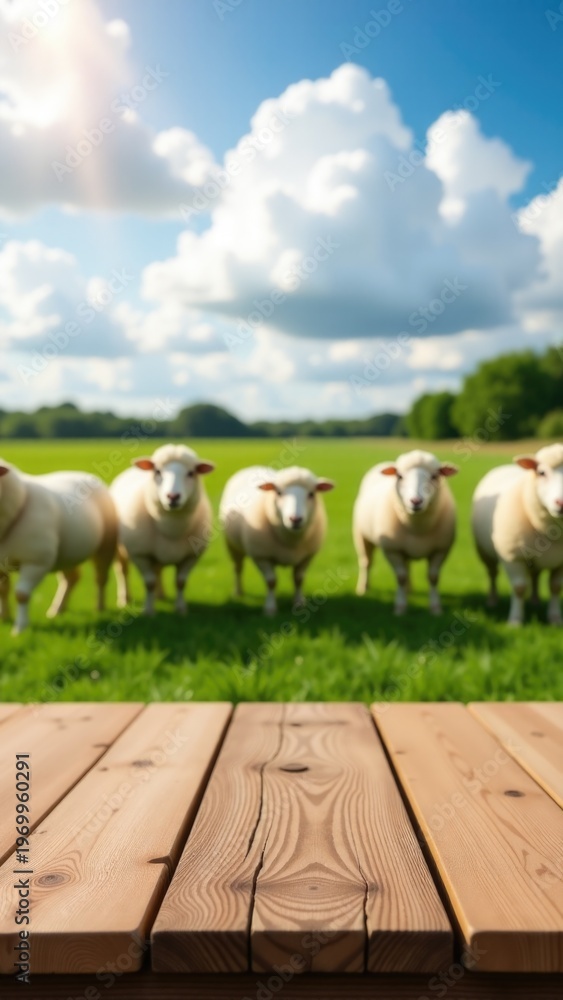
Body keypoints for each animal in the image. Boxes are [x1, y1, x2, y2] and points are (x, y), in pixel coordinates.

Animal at [0, 461, 117, 635]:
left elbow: (21, 595)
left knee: (100, 578)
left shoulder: (36, 562)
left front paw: (20, 629)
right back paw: (57, 610)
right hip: (68, 554)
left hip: (106, 545)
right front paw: (4, 618)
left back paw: (100, 608)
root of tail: (79, 473)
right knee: (72, 578)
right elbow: (3, 591)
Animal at [110, 444, 215, 615]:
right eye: (157, 471)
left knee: (158, 570)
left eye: (191, 473)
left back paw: (160, 595)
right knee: (122, 571)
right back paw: (124, 599)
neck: (170, 528)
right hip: (120, 549)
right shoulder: (140, 555)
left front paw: (181, 609)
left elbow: (180, 582)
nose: (173, 496)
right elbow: (149, 583)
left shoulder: (192, 556)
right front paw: (149, 611)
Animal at [220, 465, 335, 615]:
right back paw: (238, 592)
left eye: (311, 494)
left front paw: (299, 603)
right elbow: (271, 582)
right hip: (232, 544)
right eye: (279, 493)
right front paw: (270, 609)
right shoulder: (262, 556)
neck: (290, 540)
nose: (295, 519)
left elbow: (299, 579)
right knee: (238, 568)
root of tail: (254, 466)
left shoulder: (307, 557)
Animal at [353, 450, 458, 615]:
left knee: (407, 566)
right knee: (366, 562)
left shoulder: (441, 549)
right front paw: (400, 608)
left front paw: (435, 608)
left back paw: (409, 590)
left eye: (435, 476)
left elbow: (433, 577)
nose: (415, 501)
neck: (416, 527)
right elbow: (401, 577)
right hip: (361, 536)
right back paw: (363, 589)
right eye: (400, 476)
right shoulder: (393, 550)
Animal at [471, 443, 563, 626]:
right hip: (485, 552)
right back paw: (492, 600)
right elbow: (519, 588)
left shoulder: (560, 563)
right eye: (542, 472)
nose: (561, 503)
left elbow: (555, 588)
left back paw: (535, 601)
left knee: (535, 575)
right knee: (492, 574)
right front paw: (515, 621)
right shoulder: (513, 557)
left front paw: (555, 619)